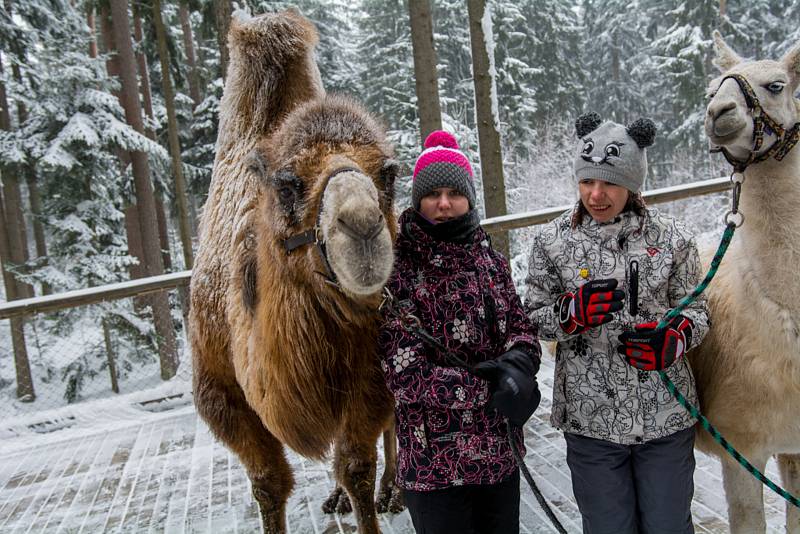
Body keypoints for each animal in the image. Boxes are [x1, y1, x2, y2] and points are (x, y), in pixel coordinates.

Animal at [187, 9, 400, 534]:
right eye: (286, 185)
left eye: (389, 173)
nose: (362, 227)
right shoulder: (219, 393)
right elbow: (268, 484)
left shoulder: (371, 372)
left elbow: (357, 466)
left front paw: (372, 494)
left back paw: (394, 491)